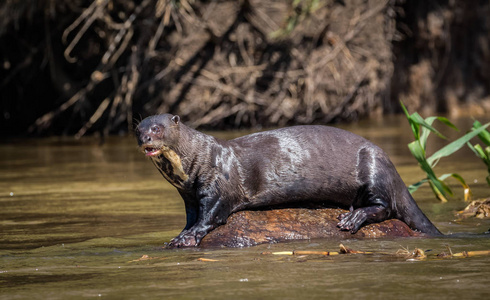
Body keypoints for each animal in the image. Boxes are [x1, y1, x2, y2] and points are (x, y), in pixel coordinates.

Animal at [136, 113, 442, 247]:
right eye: (138, 129)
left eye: (157, 128)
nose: (146, 138)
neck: (197, 159)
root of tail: (390, 164)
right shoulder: (187, 194)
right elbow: (191, 215)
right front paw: (180, 233)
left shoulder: (219, 186)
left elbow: (210, 216)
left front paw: (188, 237)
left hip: (374, 170)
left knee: (386, 207)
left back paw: (353, 218)